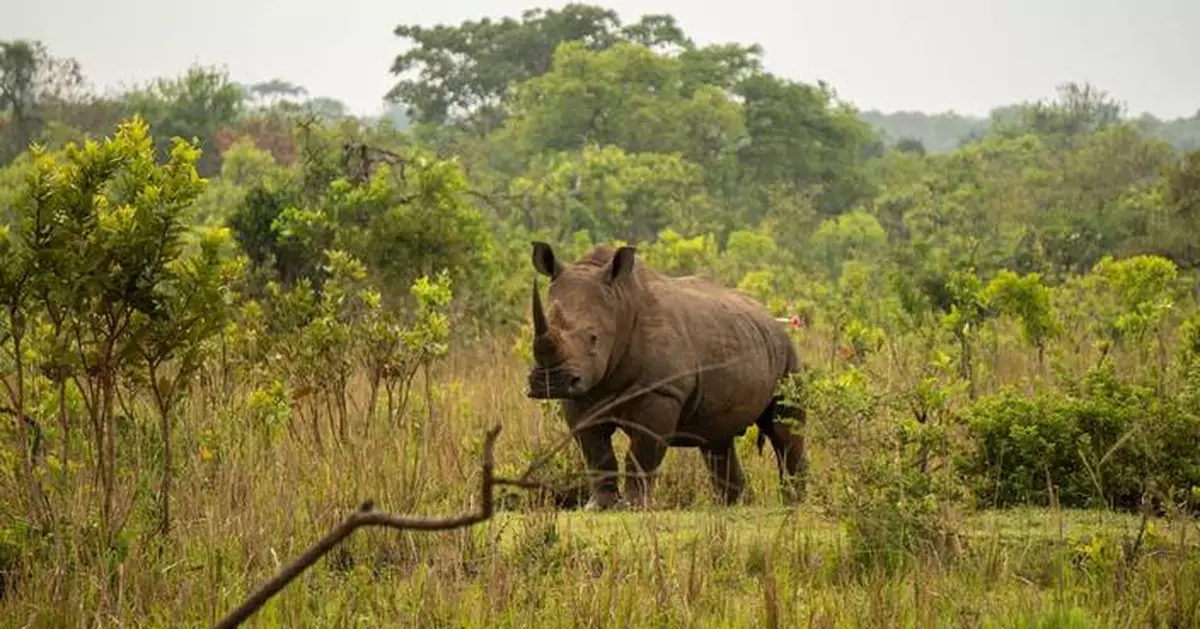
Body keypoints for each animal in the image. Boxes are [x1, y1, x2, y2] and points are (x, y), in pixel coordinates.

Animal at [525, 240, 808, 511]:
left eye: (593, 338)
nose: (551, 382)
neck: (620, 305)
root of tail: (772, 318)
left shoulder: (662, 391)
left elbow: (642, 453)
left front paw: (633, 506)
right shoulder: (582, 392)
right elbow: (596, 453)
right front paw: (599, 506)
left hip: (788, 356)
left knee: (784, 431)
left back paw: (795, 502)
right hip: (739, 335)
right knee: (717, 439)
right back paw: (732, 505)